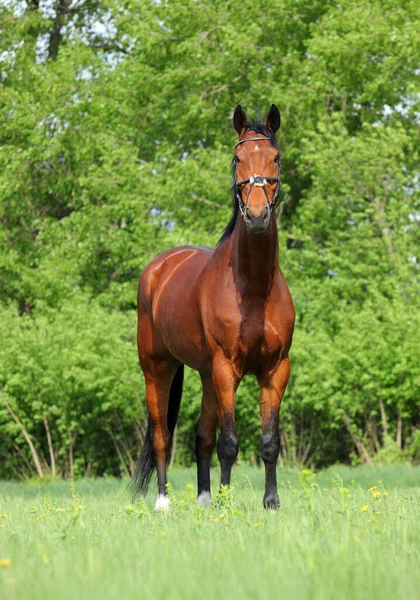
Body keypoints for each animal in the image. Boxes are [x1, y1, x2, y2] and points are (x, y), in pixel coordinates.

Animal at [133, 103, 294, 510]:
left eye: (276, 157)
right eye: (237, 158)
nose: (257, 216)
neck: (254, 288)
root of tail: (158, 268)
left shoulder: (275, 370)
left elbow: (269, 441)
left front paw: (271, 502)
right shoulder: (226, 370)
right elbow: (230, 442)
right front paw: (226, 503)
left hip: (205, 375)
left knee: (200, 435)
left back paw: (204, 499)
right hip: (157, 369)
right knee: (161, 435)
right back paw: (163, 501)